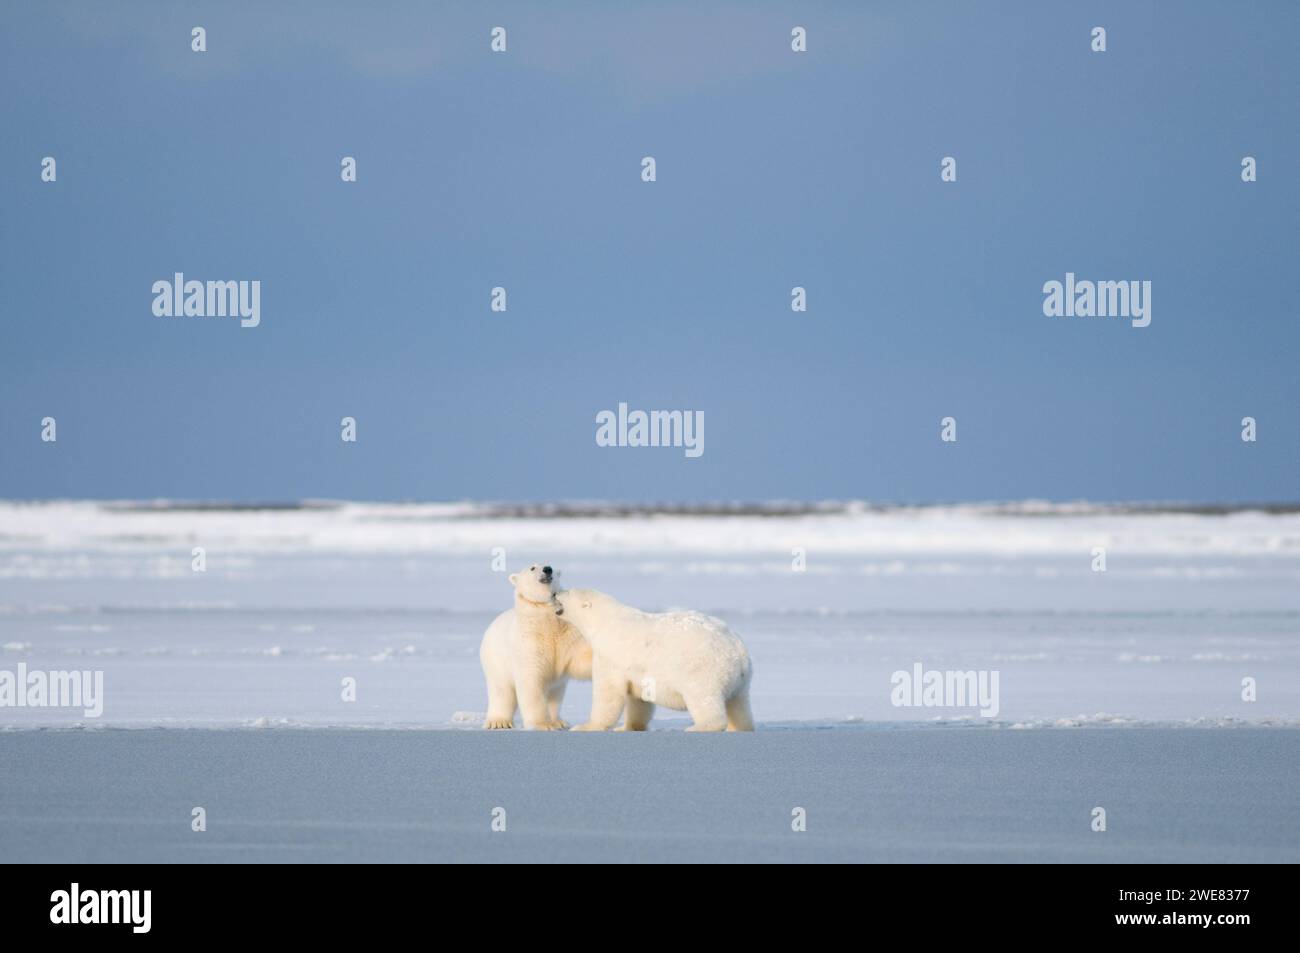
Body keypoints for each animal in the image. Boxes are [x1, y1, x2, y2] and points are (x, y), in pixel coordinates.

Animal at [483, 564, 595, 728]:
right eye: (532, 568)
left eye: (552, 566)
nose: (547, 569)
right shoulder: (529, 641)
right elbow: (531, 681)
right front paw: (543, 724)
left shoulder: (567, 635)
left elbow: (579, 660)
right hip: (496, 661)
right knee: (501, 691)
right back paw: (499, 722)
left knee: (556, 693)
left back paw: (558, 721)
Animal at [556, 582, 759, 733]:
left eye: (568, 591)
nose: (555, 593)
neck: (604, 621)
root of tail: (737, 649)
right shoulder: (635, 670)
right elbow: (638, 699)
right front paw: (627, 727)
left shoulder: (611, 655)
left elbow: (608, 693)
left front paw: (585, 726)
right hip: (741, 681)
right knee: (739, 705)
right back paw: (740, 727)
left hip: (702, 670)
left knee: (704, 699)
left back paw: (697, 727)